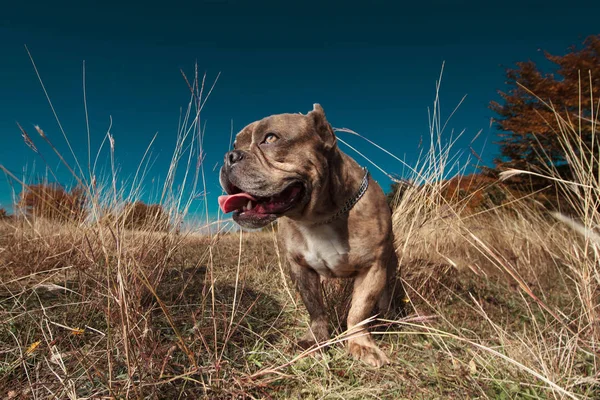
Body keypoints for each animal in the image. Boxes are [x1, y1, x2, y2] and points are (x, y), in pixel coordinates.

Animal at [218, 104, 400, 368]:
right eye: (235, 144)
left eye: (271, 138)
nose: (229, 156)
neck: (319, 217)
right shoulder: (300, 267)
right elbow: (315, 307)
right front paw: (315, 339)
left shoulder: (372, 268)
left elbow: (359, 311)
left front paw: (361, 343)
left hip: (389, 265)